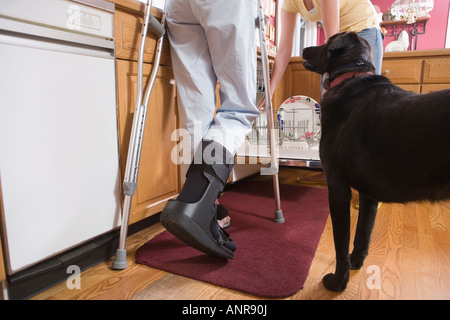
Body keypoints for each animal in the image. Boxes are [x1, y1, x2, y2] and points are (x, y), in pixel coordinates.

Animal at [302, 31, 450, 290]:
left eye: (326, 41)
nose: (302, 49)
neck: (352, 76)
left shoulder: (338, 190)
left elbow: (340, 245)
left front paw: (338, 283)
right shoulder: (369, 195)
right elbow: (362, 235)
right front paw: (356, 264)